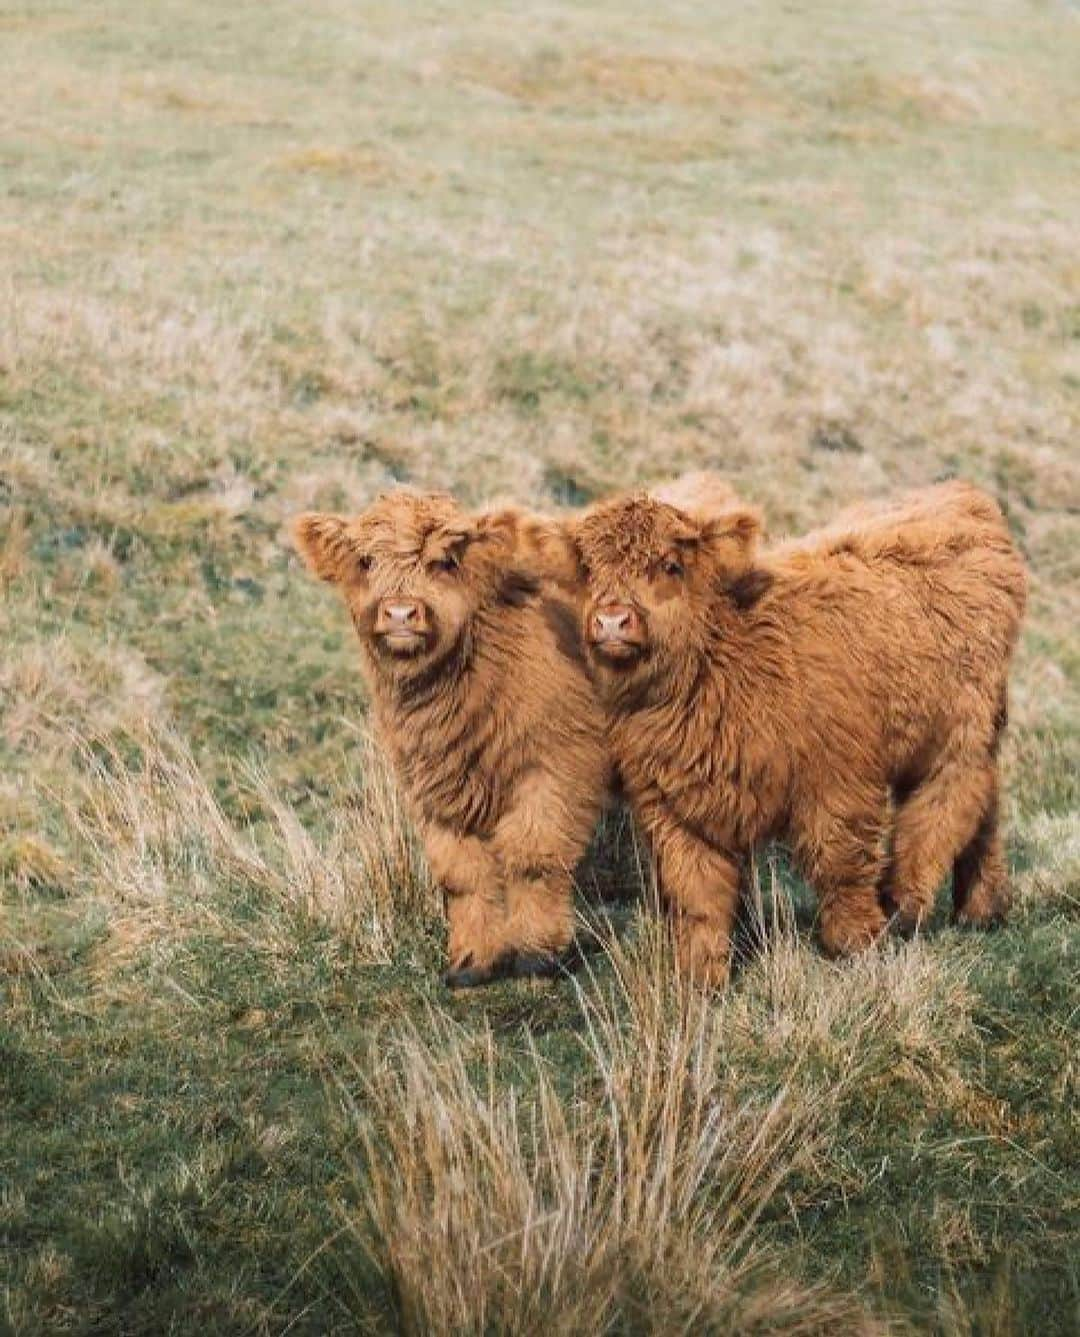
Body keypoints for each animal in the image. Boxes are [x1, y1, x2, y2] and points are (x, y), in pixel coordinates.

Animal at [291, 489, 612, 984]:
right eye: (365, 560)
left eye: (442, 561)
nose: (400, 612)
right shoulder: (436, 787)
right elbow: (463, 874)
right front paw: (471, 961)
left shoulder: (556, 766)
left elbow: (533, 857)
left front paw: (539, 954)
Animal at [556, 478, 1031, 984]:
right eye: (589, 569)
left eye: (670, 565)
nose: (611, 620)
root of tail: (961, 494)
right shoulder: (673, 810)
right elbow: (697, 896)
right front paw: (700, 978)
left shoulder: (839, 782)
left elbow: (841, 865)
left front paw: (858, 944)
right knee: (985, 809)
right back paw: (982, 908)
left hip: (959, 734)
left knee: (945, 806)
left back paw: (905, 904)